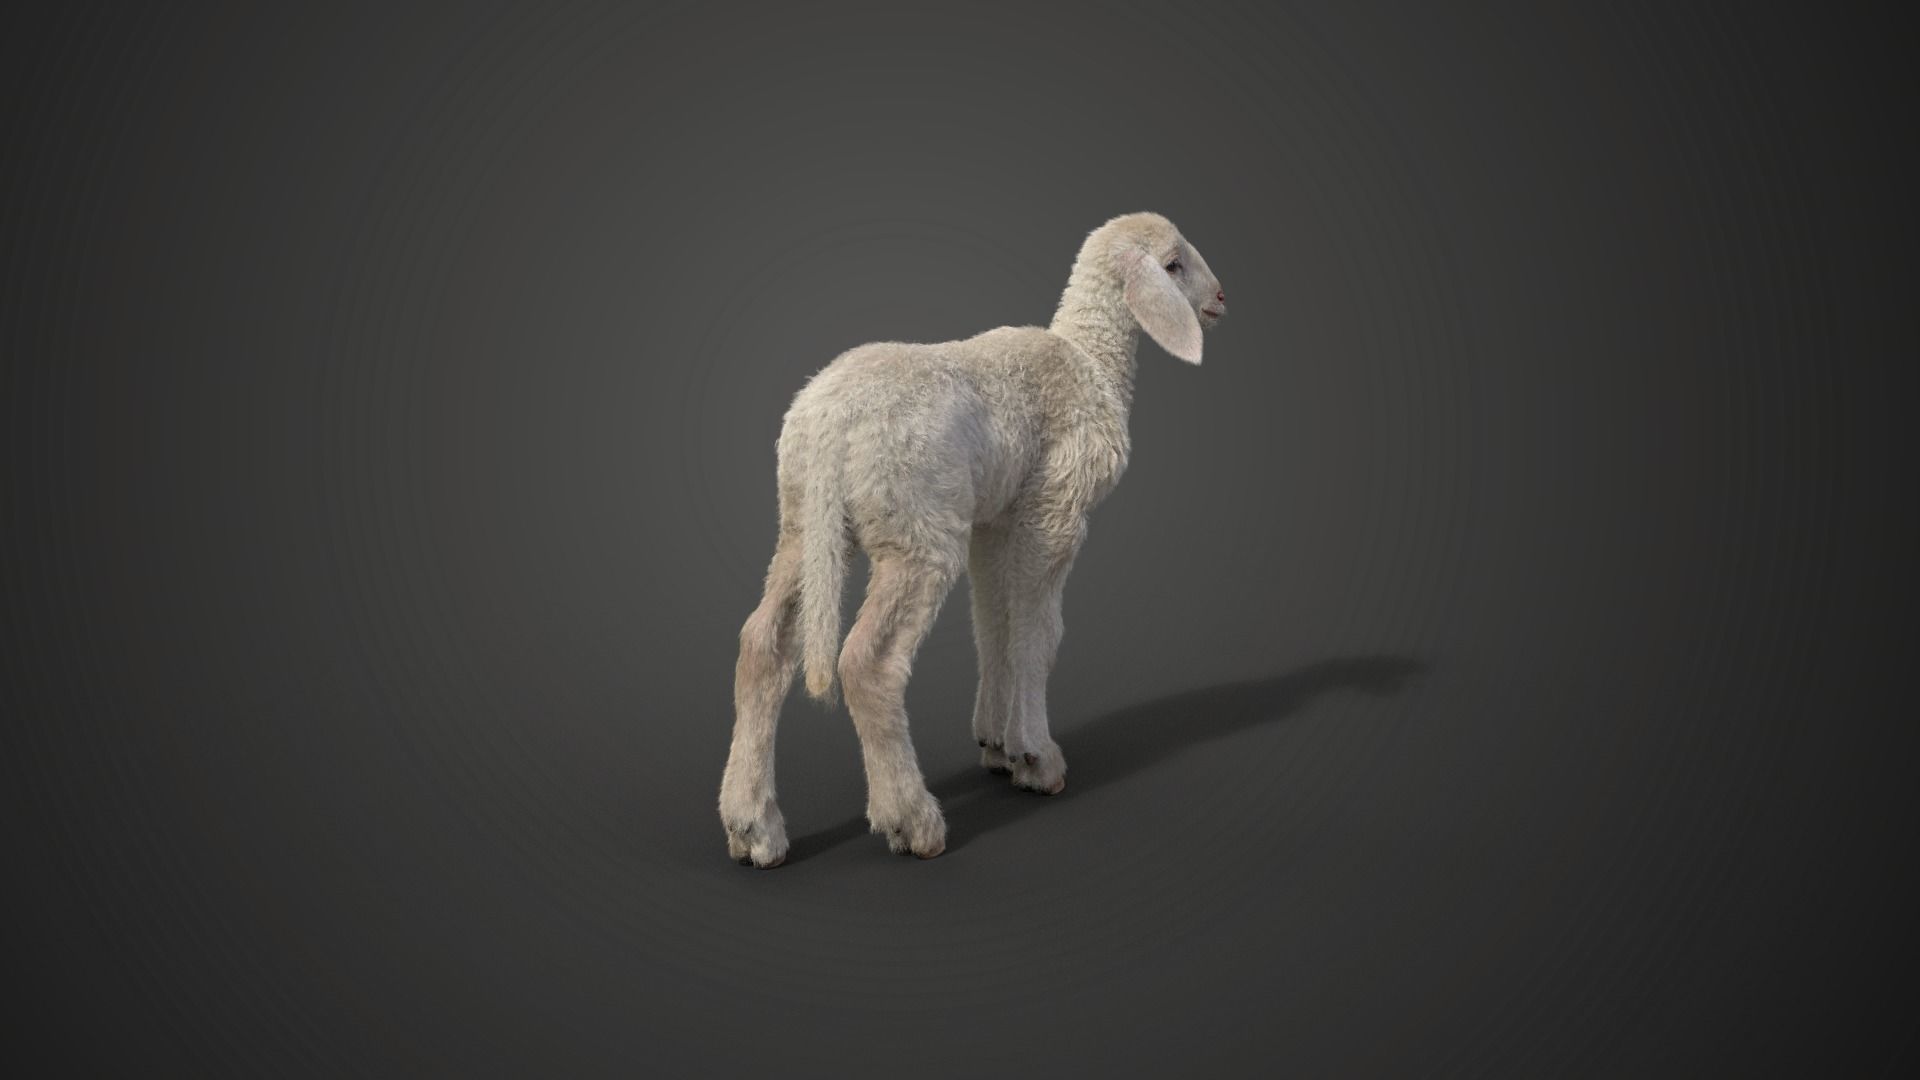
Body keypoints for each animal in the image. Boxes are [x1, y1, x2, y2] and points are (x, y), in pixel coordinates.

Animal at [717, 211, 1228, 866]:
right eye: (1173, 265)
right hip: (917, 529)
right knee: (868, 664)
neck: (1088, 359)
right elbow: (1040, 635)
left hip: (804, 525)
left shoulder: (996, 520)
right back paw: (912, 821)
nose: (1221, 299)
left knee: (762, 647)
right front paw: (1037, 756)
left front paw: (996, 743)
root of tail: (833, 422)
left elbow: (995, 628)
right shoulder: (1054, 508)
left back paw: (753, 828)